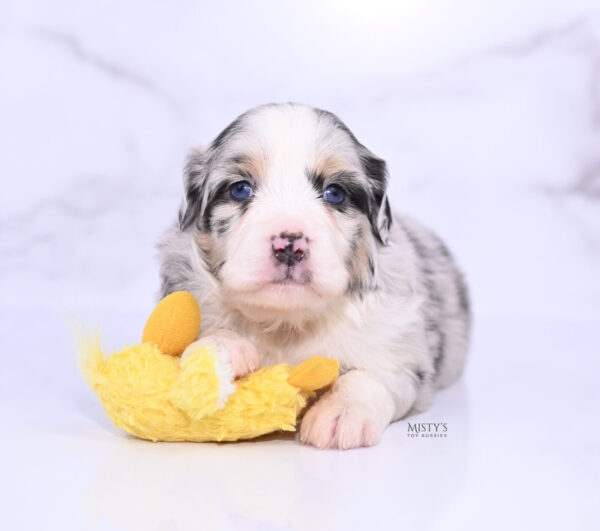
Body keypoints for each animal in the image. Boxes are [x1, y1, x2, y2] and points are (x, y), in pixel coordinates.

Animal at [157, 103, 472, 448]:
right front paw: (221, 354)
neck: (287, 323)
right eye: (240, 189)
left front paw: (341, 413)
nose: (289, 245)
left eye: (334, 193)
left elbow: (371, 374)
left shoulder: (403, 354)